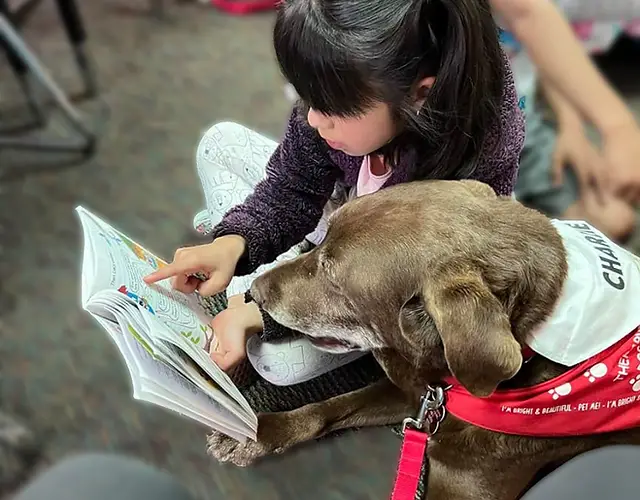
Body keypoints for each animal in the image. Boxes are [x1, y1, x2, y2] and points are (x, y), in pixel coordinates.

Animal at [208, 181, 640, 500]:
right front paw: (256, 431)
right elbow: (329, 406)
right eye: (322, 240)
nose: (254, 293)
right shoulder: (419, 396)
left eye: (333, 277)